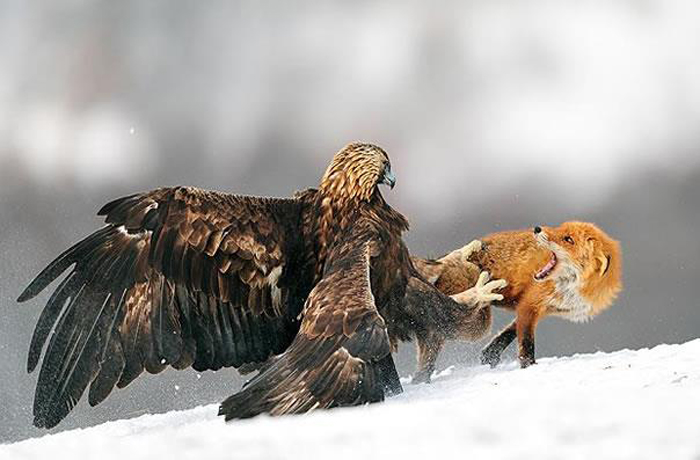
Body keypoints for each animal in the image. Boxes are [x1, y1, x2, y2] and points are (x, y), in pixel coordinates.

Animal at [412, 222, 620, 378]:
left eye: (568, 239)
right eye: (559, 229)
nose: (537, 228)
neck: (572, 289)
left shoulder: (539, 307)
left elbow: (508, 333)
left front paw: (490, 356)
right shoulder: (530, 304)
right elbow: (526, 342)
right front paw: (528, 367)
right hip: (479, 323)